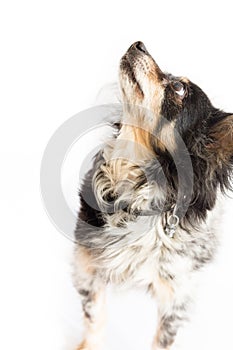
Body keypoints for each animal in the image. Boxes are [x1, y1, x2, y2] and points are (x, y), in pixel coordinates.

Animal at [72, 42, 231, 348]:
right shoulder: (88, 268)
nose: (139, 43)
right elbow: (94, 321)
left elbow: (162, 339)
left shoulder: (176, 296)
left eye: (179, 88)